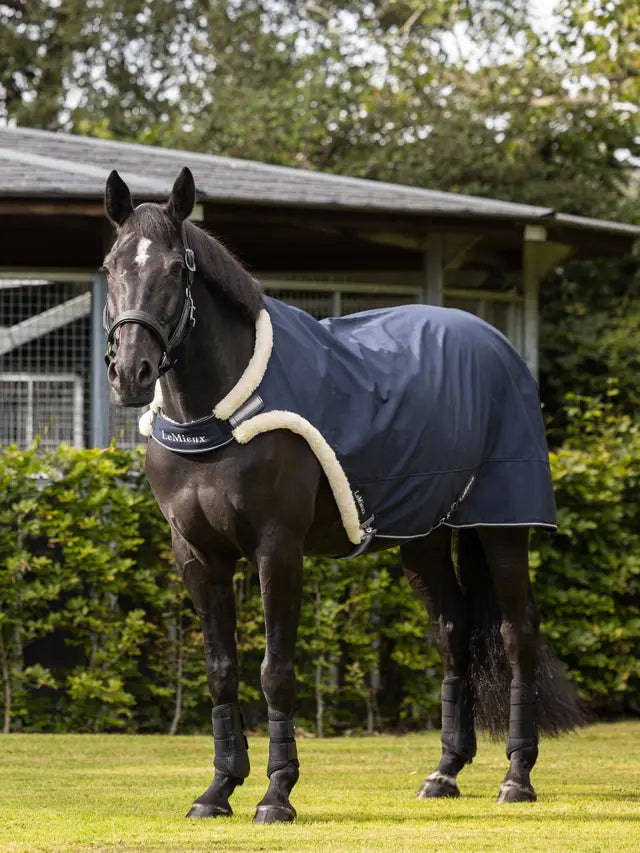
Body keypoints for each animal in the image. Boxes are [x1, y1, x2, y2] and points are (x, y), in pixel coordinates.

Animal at [102, 167, 584, 823]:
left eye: (177, 269)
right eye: (109, 266)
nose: (131, 373)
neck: (219, 419)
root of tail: (495, 343)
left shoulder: (278, 549)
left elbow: (275, 670)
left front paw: (276, 794)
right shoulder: (197, 554)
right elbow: (222, 671)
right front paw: (218, 790)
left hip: (501, 527)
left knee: (516, 635)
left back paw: (517, 777)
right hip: (423, 538)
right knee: (453, 631)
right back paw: (445, 771)